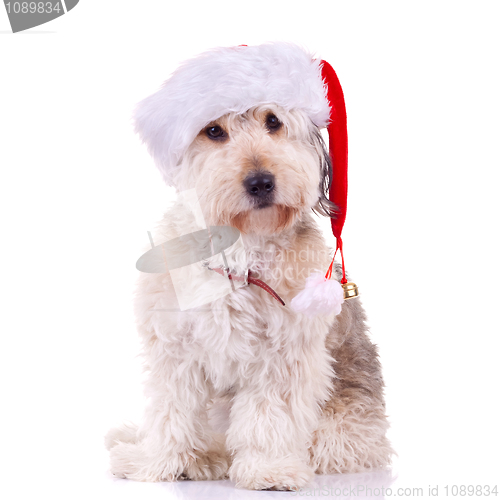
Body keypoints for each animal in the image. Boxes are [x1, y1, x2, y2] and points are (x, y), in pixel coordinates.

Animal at [106, 44, 394, 492]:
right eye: (213, 131)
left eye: (273, 121)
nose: (260, 182)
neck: (241, 249)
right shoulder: (176, 349)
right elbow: (171, 413)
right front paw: (153, 463)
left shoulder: (283, 356)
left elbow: (269, 417)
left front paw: (268, 468)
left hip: (342, 434)